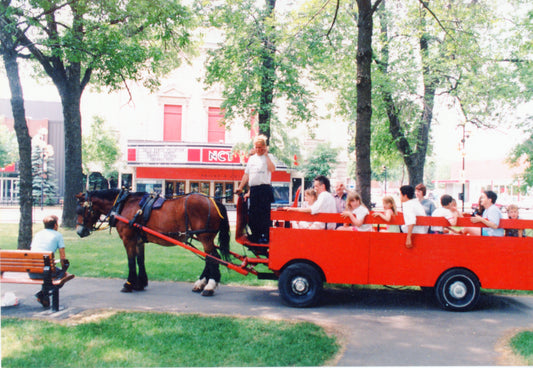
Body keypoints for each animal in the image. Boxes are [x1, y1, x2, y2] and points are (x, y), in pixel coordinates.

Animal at [75, 190, 231, 296]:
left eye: (81, 209)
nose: (79, 231)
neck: (124, 205)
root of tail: (215, 202)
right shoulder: (138, 241)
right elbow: (140, 260)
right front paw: (140, 283)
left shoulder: (128, 239)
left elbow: (131, 261)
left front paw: (128, 284)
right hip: (205, 238)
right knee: (209, 258)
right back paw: (202, 283)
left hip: (205, 237)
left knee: (213, 257)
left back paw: (210, 286)